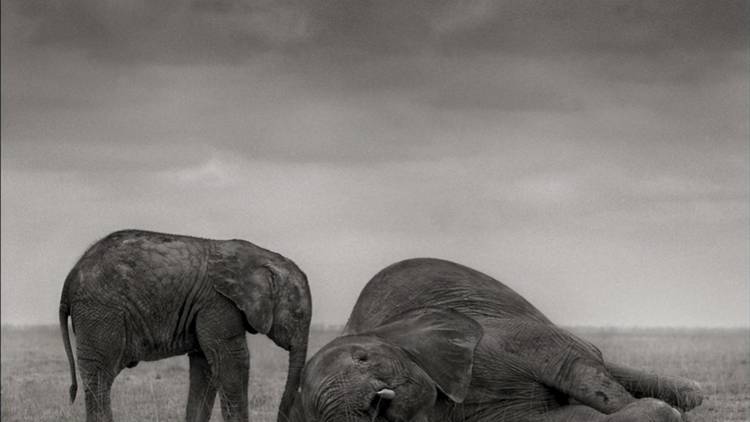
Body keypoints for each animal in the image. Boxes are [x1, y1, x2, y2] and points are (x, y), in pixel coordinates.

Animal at [59, 231, 314, 422]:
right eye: (298, 314)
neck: (262, 257)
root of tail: (71, 276)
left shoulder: (206, 308)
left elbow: (206, 368)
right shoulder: (218, 302)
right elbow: (233, 361)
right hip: (100, 312)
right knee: (100, 376)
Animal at [290, 258, 704, 420]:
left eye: (362, 358)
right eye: (314, 410)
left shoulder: (500, 338)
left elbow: (575, 370)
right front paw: (656, 412)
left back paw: (692, 394)